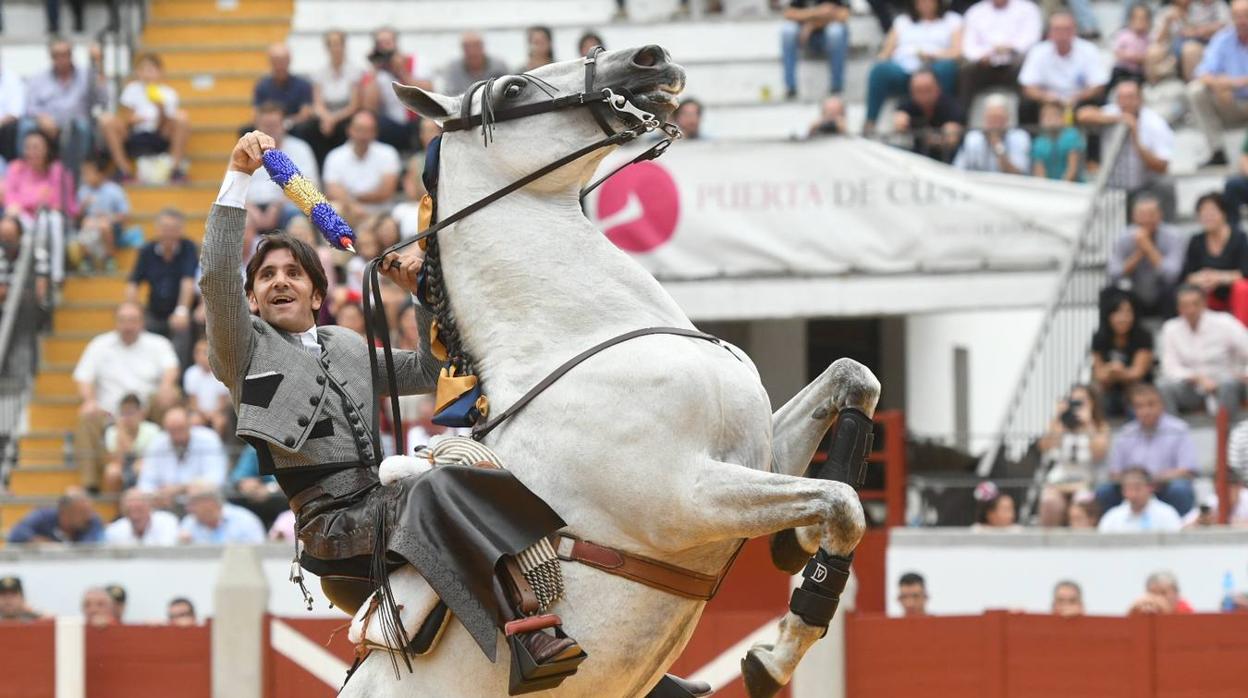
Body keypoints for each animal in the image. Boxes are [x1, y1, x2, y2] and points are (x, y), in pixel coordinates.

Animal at [341, 44, 878, 698]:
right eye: (513, 89)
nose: (651, 58)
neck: (581, 334)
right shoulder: (686, 496)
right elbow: (841, 504)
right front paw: (771, 660)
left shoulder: (760, 453)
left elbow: (854, 378)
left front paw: (793, 543)